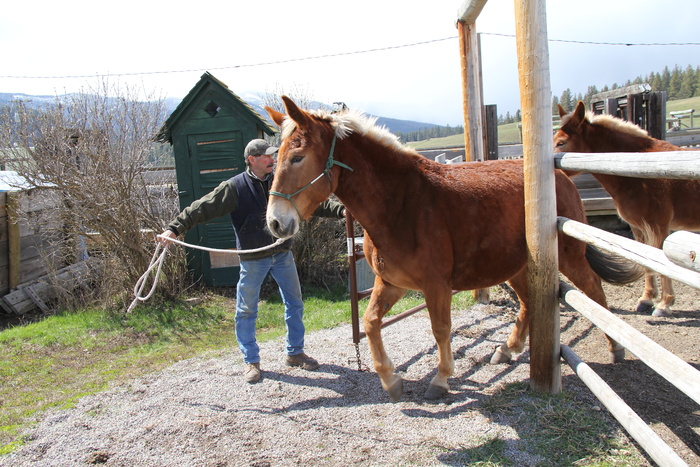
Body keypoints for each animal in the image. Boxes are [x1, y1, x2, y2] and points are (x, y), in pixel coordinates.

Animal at [266, 96, 644, 402]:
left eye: (297, 157)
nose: (275, 223)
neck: (401, 203)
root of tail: (560, 175)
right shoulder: (391, 284)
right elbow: (371, 323)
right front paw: (391, 381)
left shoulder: (436, 286)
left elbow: (440, 328)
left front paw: (441, 380)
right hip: (518, 266)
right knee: (528, 303)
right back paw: (508, 349)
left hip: (568, 255)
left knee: (593, 289)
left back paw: (616, 348)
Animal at [556, 100, 700, 316]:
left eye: (561, 142)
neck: (638, 172)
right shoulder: (639, 227)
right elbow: (644, 260)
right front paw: (647, 299)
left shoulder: (659, 226)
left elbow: (661, 263)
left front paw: (664, 304)